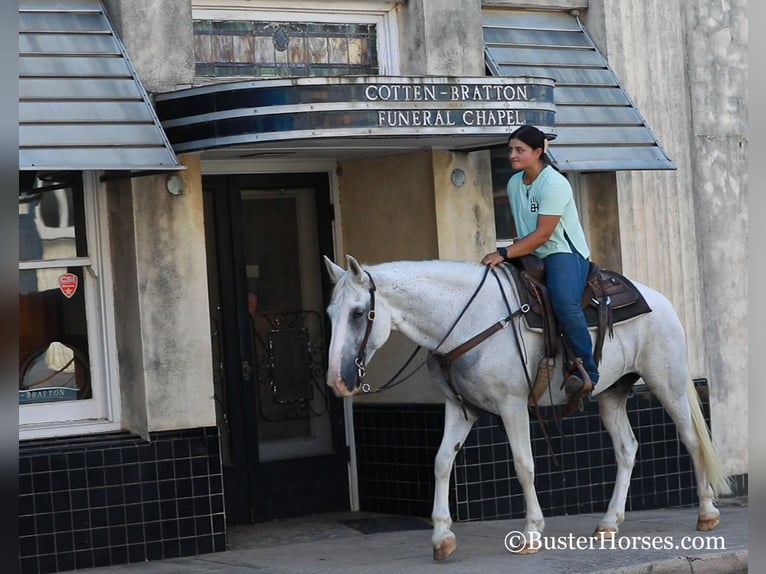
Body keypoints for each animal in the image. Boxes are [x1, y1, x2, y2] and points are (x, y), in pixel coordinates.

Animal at [322, 256, 732, 564]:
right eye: (329, 313)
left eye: (358, 313)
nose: (338, 381)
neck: (467, 320)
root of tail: (661, 300)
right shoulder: (459, 409)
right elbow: (441, 463)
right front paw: (441, 537)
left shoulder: (512, 404)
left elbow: (523, 465)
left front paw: (532, 532)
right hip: (612, 394)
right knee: (627, 448)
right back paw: (609, 522)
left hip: (668, 383)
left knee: (692, 440)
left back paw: (707, 513)